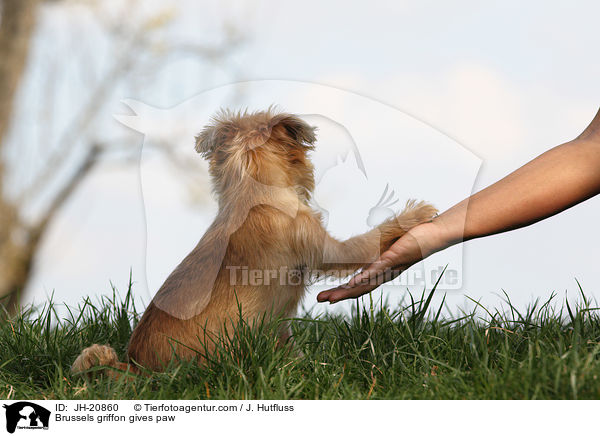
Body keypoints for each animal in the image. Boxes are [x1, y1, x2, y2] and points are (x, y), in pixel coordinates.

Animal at [71, 108, 436, 374]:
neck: (253, 193)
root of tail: (134, 368)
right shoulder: (329, 248)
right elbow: (370, 239)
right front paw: (415, 214)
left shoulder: (278, 325)